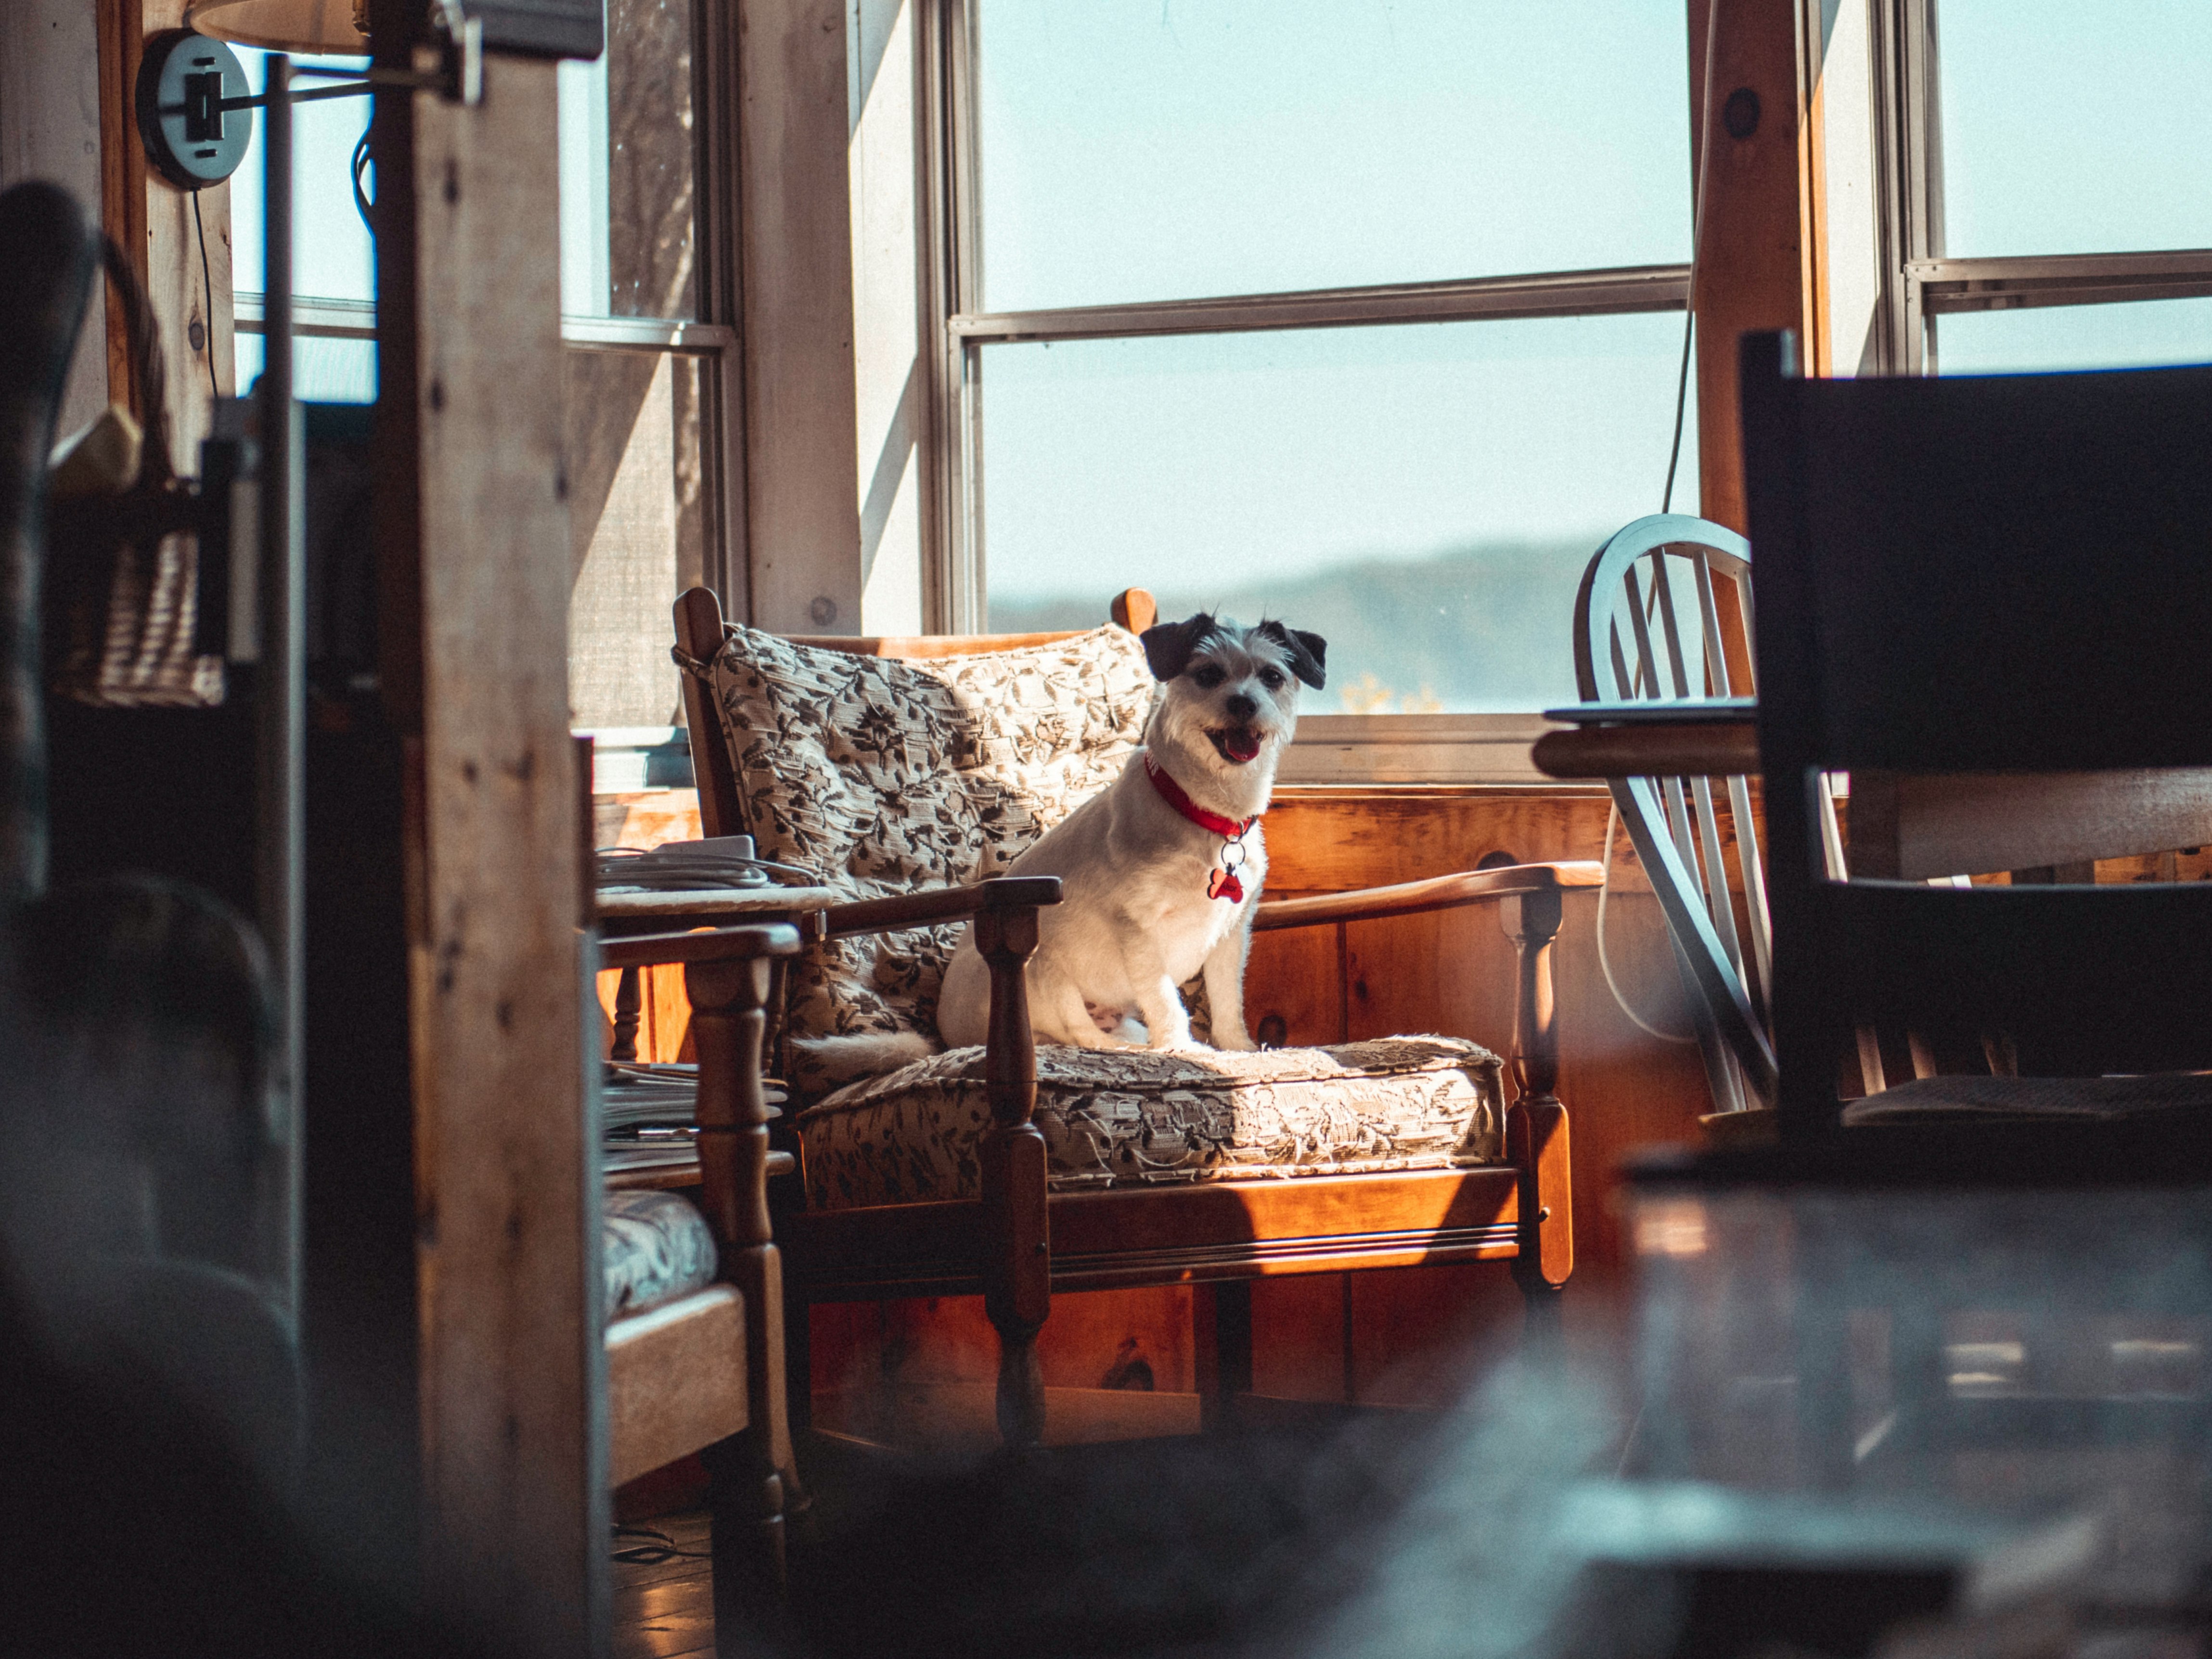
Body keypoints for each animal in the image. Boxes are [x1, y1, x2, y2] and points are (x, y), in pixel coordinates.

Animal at [929, 619, 1318, 1057]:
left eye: (1272, 676)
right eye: (1208, 674)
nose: (1244, 704)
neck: (1201, 811)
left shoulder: (1232, 934)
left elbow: (1226, 1001)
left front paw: (1239, 1049)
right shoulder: (1138, 928)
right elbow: (1165, 999)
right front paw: (1180, 1046)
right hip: (1043, 968)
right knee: (1081, 1034)